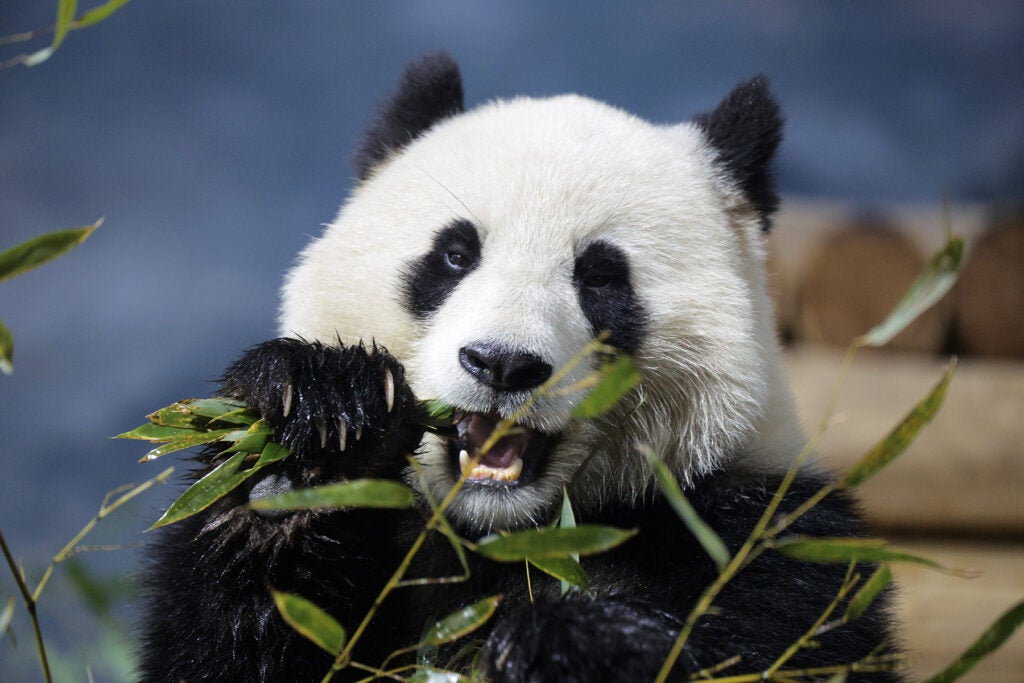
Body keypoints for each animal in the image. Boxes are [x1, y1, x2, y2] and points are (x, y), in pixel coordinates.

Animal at [139, 53, 900, 682]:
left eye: (600, 277)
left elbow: (776, 641)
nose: (502, 364)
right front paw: (318, 434)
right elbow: (238, 634)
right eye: (454, 255)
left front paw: (569, 646)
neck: (505, 534)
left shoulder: (764, 542)